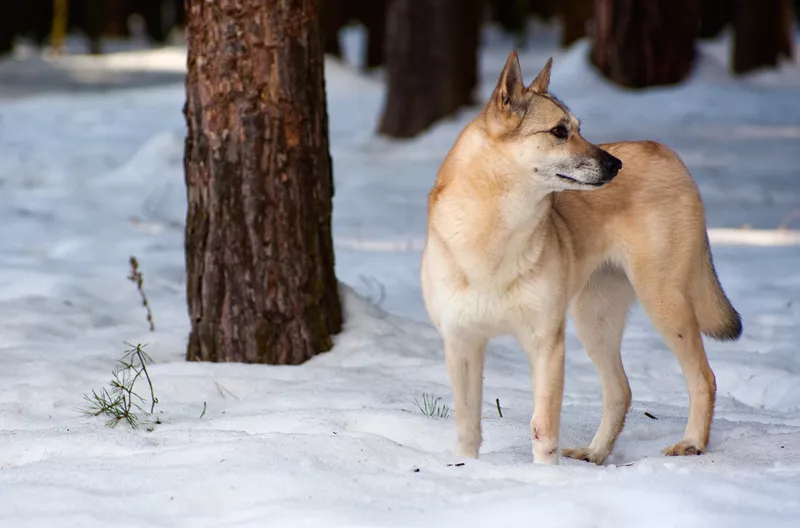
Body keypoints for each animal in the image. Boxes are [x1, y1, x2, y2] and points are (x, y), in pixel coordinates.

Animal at [422, 52, 740, 466]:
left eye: (578, 129)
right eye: (559, 131)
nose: (616, 165)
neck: (494, 232)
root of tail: (667, 152)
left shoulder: (546, 342)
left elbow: (542, 425)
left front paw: (546, 474)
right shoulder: (461, 342)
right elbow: (467, 425)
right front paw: (465, 467)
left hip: (664, 303)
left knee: (703, 377)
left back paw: (691, 443)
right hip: (595, 319)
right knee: (621, 389)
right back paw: (595, 453)